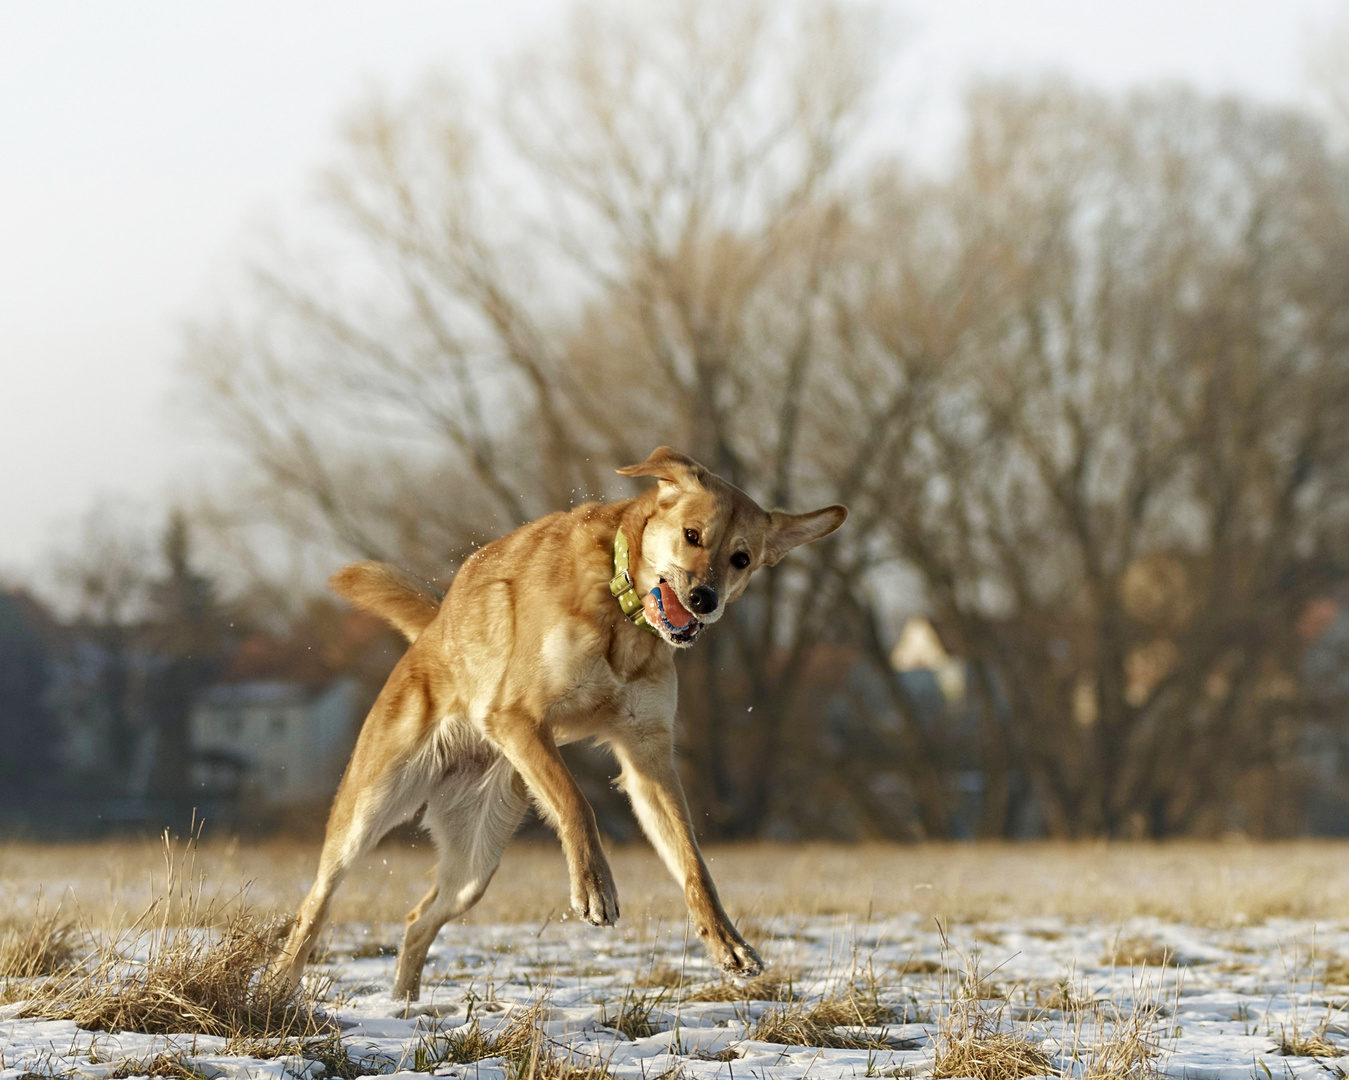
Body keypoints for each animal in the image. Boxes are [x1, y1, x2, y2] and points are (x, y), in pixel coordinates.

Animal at [272, 444, 841, 992]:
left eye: (741, 558)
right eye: (692, 535)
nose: (704, 599)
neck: (621, 613)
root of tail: (434, 630)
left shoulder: (648, 758)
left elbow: (693, 863)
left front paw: (726, 943)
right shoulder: (517, 717)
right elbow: (576, 801)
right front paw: (594, 887)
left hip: (475, 861)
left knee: (418, 921)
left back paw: (404, 1008)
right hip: (371, 806)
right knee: (317, 901)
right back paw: (282, 983)